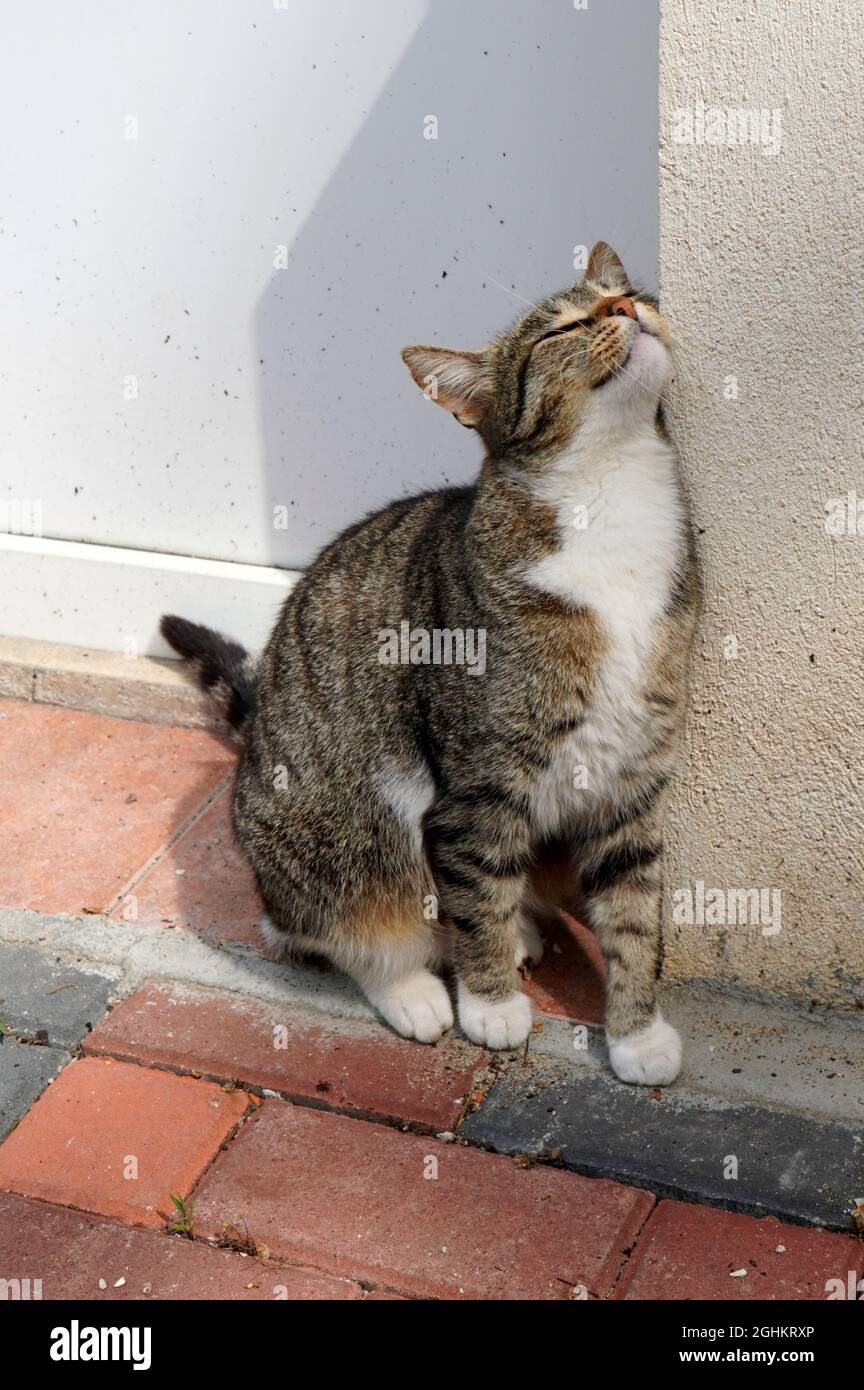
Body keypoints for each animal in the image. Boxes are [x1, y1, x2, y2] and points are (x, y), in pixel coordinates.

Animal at [165, 239, 700, 1084]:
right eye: (562, 328)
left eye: (632, 294)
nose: (624, 306)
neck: (612, 504)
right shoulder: (475, 789)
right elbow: (475, 895)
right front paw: (489, 1006)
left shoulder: (632, 783)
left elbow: (635, 915)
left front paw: (638, 1033)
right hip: (345, 841)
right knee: (340, 928)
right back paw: (416, 989)